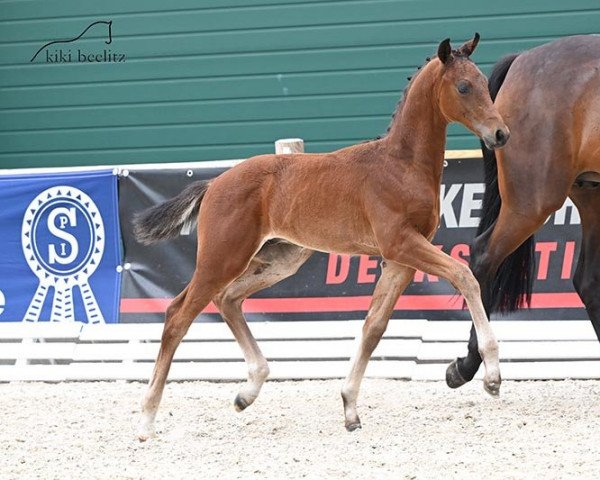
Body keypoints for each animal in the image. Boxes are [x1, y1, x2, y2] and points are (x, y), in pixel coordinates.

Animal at [134, 34, 508, 442]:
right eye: (463, 87)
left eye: (484, 83)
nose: (500, 134)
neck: (401, 164)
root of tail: (214, 182)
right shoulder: (401, 244)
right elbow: (464, 275)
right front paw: (492, 376)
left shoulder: (399, 259)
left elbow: (374, 326)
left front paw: (350, 408)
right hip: (223, 258)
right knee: (178, 315)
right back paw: (147, 419)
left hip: (279, 261)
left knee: (227, 298)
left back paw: (248, 391)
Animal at [442, 35, 600, 388]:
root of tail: (523, 58)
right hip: (532, 202)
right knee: (484, 256)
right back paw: (469, 364)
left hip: (590, 193)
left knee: (588, 281)